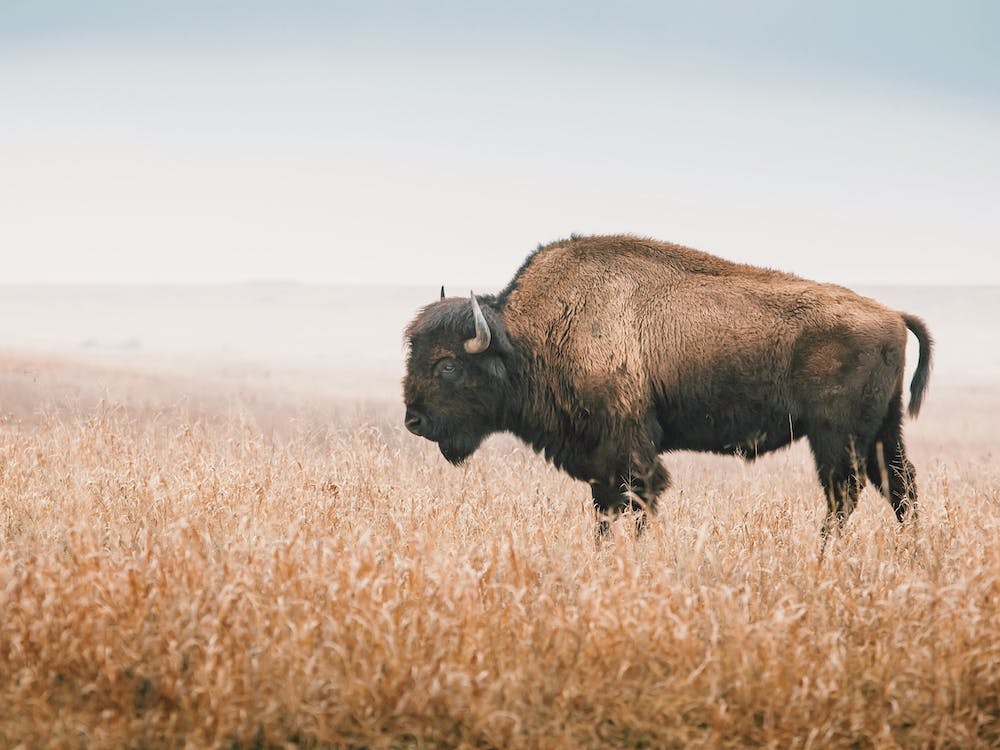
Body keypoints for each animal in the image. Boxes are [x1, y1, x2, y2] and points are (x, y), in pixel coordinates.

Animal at [403, 235, 932, 536]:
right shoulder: (600, 460)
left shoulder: (629, 449)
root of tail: (892, 314)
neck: (528, 336)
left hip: (836, 436)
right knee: (900, 488)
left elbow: (637, 501)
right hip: (882, 432)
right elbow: (606, 510)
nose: (414, 420)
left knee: (845, 494)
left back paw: (823, 553)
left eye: (447, 365)